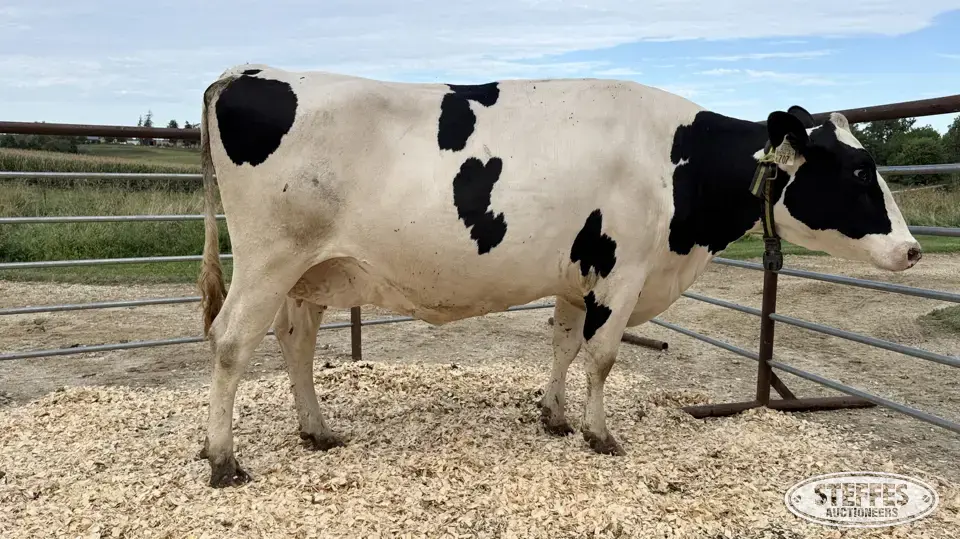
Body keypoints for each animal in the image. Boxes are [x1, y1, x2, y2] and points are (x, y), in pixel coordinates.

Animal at [195, 63, 921, 487]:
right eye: (859, 172)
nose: (913, 250)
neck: (673, 163)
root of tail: (245, 73)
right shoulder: (623, 268)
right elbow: (602, 356)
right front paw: (601, 434)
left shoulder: (580, 273)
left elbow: (566, 346)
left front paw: (555, 416)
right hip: (270, 257)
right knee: (230, 342)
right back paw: (225, 459)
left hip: (312, 271)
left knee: (294, 343)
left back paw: (316, 431)